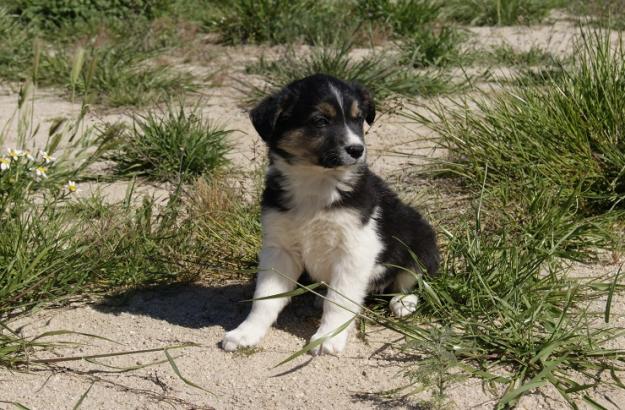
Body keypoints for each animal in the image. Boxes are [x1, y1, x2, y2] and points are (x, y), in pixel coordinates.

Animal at [223, 74, 438, 356]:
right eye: (320, 120)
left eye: (358, 119)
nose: (357, 149)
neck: (316, 182)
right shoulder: (279, 248)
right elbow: (265, 298)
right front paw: (245, 333)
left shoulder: (355, 250)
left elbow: (339, 301)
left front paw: (328, 337)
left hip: (421, 243)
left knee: (413, 282)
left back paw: (403, 302)